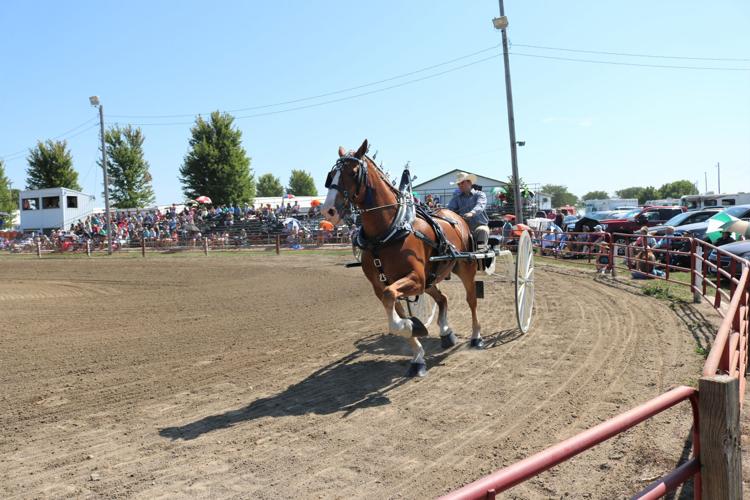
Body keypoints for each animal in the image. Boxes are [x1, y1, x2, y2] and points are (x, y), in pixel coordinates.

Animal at [321, 139, 484, 377]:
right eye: (331, 175)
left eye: (353, 172)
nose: (328, 210)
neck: (387, 231)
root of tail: (456, 216)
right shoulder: (382, 285)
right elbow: (393, 307)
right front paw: (416, 351)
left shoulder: (414, 278)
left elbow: (392, 300)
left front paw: (411, 326)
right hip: (430, 279)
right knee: (442, 298)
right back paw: (446, 332)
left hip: (464, 267)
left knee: (471, 300)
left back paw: (476, 337)